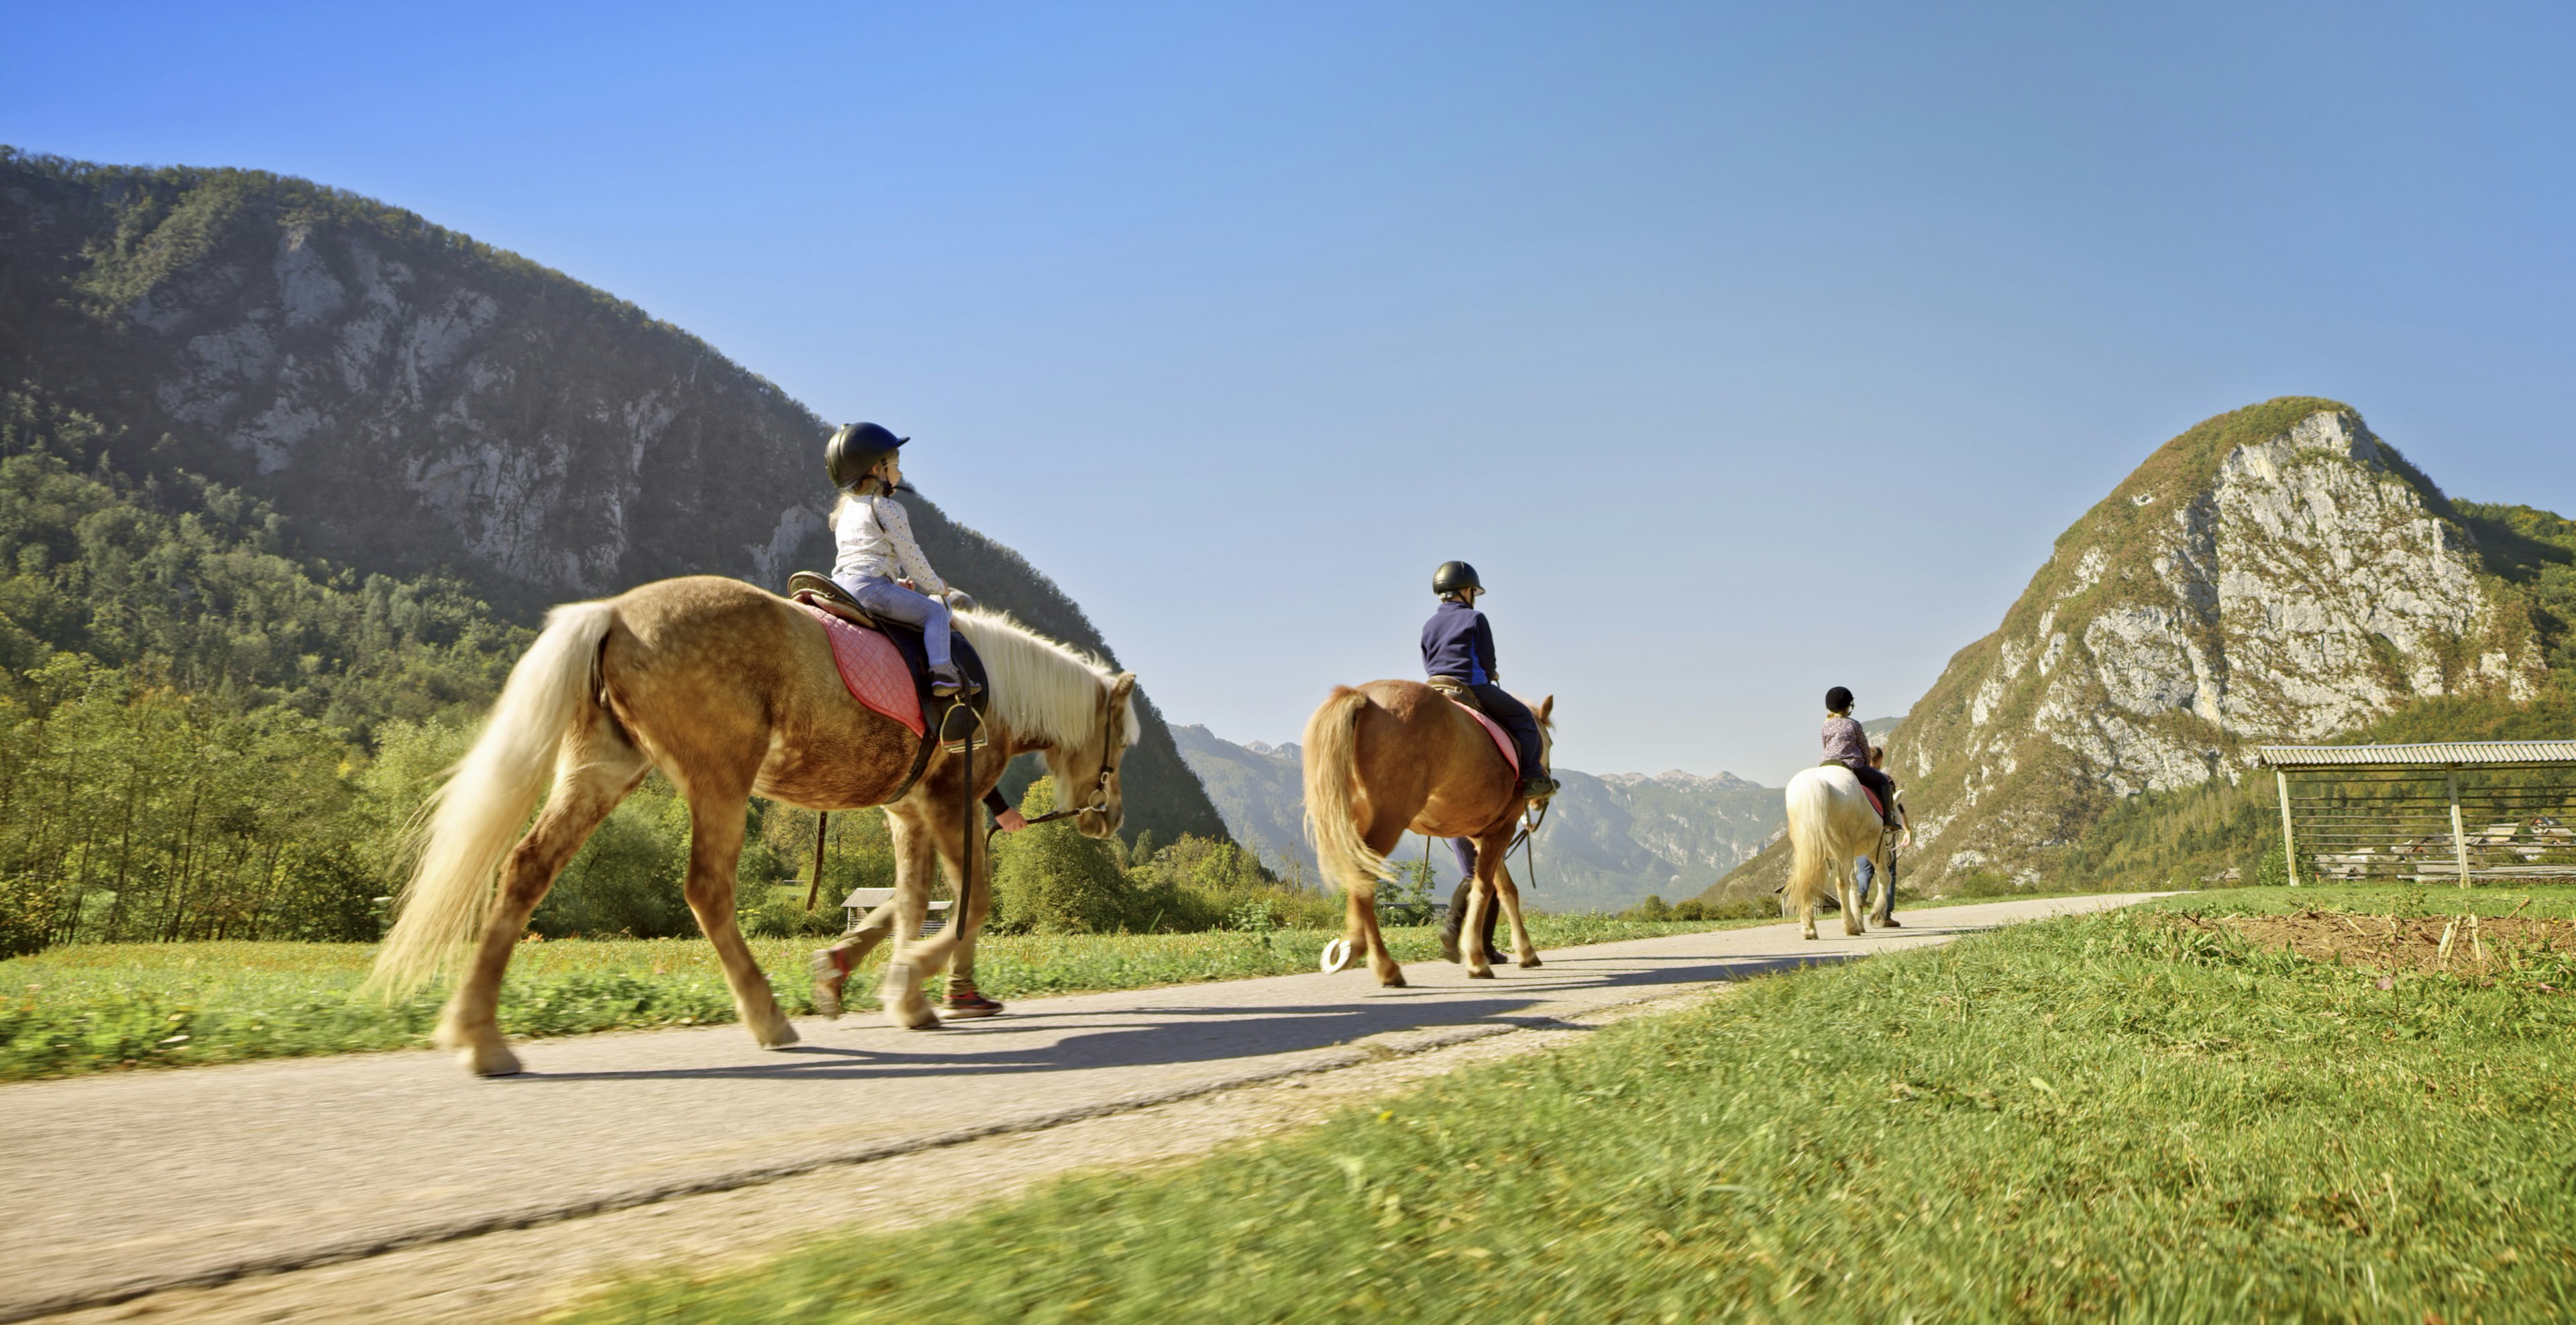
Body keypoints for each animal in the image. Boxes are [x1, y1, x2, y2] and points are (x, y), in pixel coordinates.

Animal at [368, 572, 1133, 1067]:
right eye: (1121, 742)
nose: (1108, 819)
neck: (990, 684)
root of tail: (612, 613)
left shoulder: (908, 811)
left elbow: (913, 902)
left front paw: (890, 990)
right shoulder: (948, 801)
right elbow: (971, 903)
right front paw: (906, 978)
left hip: (601, 768)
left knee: (528, 866)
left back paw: (480, 1034)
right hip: (720, 782)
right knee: (708, 890)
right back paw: (767, 1016)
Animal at [1298, 680, 1556, 979]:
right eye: (1549, 742)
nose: (1541, 798)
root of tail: (1361, 695)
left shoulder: (1482, 833)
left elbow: (1504, 890)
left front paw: (1525, 951)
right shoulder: (1503, 828)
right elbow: (1483, 888)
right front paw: (1477, 957)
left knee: (1359, 878)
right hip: (1389, 820)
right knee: (1364, 878)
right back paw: (1383, 964)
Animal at [1782, 763, 1906, 938]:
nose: (1891, 855)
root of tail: (1815, 783)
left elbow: (1855, 884)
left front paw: (1861, 918)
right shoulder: (1877, 847)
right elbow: (1884, 878)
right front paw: (1875, 915)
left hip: (1809, 850)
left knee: (1807, 881)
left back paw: (1809, 929)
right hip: (1844, 848)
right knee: (1841, 883)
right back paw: (1850, 926)